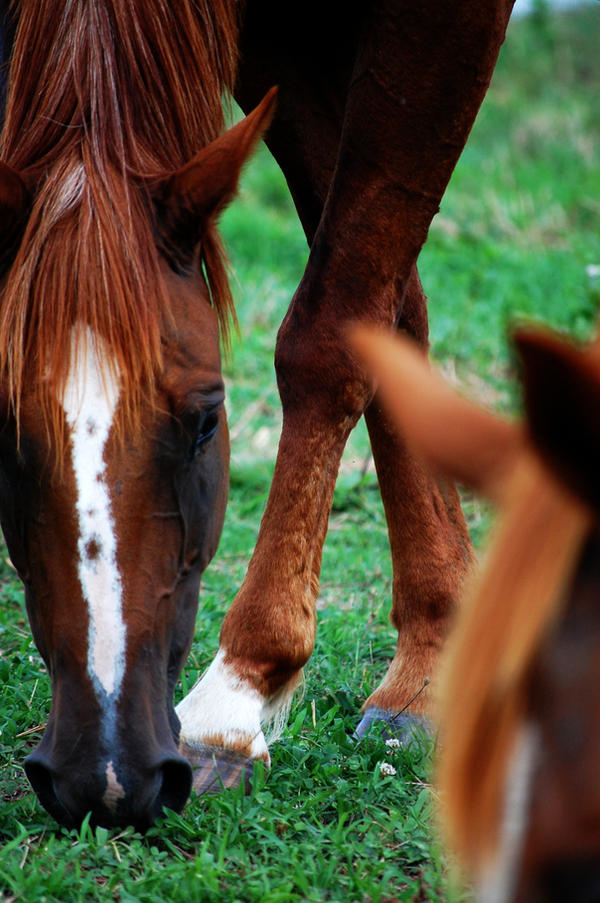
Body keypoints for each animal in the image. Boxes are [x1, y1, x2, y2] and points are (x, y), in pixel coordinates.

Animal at [1, 0, 516, 828]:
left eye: (208, 421)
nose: (105, 775)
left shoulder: (440, 25)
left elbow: (336, 324)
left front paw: (234, 698)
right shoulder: (282, 47)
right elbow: (394, 307)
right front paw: (435, 656)